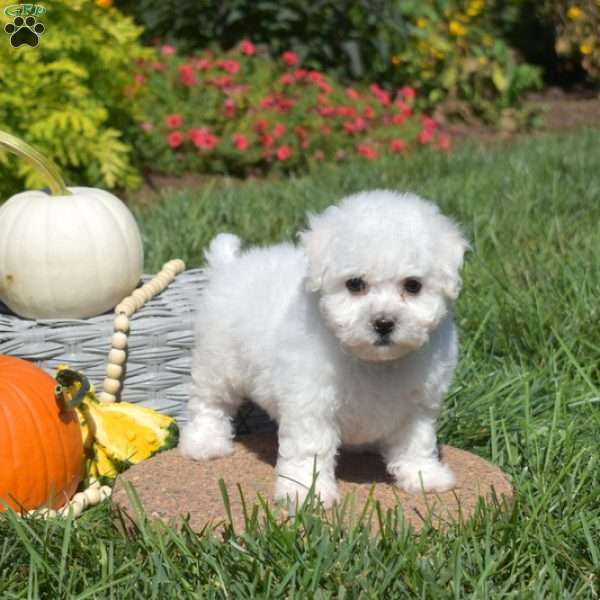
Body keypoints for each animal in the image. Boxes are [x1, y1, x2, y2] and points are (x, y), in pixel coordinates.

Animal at [178, 189, 468, 506]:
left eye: (413, 285)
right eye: (355, 284)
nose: (383, 323)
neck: (374, 362)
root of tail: (230, 266)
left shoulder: (418, 404)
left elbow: (417, 442)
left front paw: (424, 476)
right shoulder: (311, 402)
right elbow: (310, 448)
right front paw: (306, 492)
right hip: (218, 361)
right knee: (209, 402)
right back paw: (205, 442)